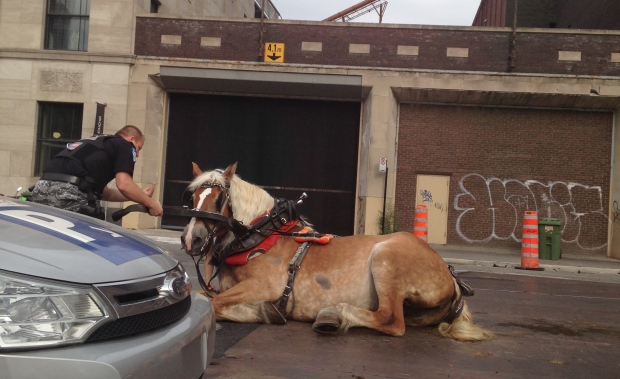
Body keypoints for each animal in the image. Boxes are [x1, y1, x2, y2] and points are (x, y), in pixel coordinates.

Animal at [180, 162, 494, 342]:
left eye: (220, 198)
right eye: (193, 197)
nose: (191, 239)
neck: (261, 238)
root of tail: (448, 273)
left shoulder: (265, 286)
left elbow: (215, 304)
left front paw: (259, 311)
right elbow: (208, 298)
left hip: (385, 258)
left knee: (391, 320)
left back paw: (337, 314)